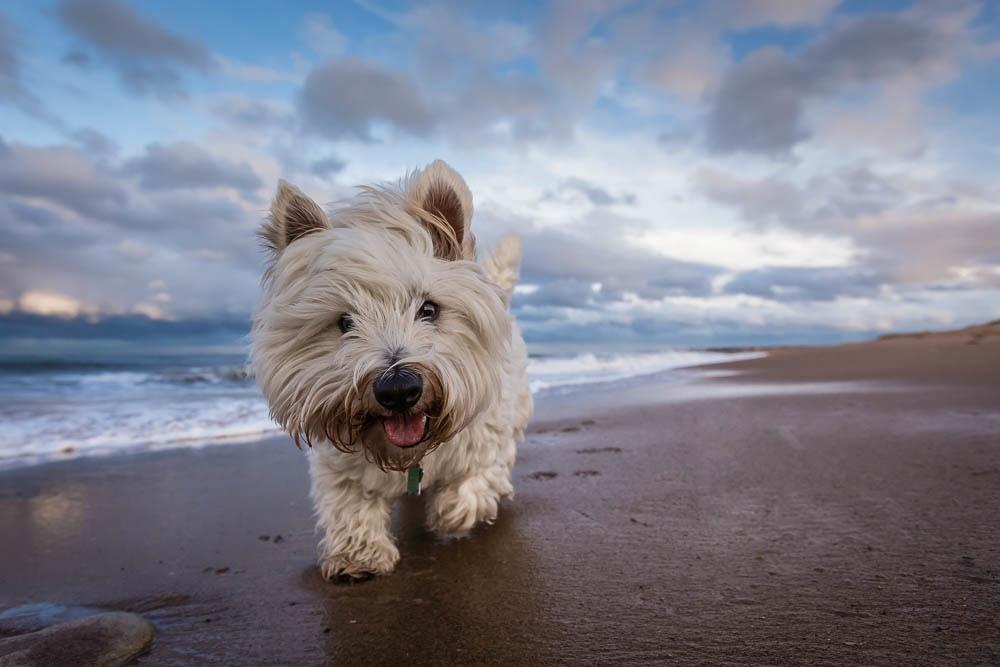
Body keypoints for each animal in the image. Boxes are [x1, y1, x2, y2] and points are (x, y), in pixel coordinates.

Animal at [250, 162, 532, 580]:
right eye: (345, 322)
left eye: (429, 309)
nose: (398, 389)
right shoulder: (341, 466)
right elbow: (350, 502)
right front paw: (358, 556)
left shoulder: (486, 435)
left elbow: (474, 476)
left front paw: (452, 512)